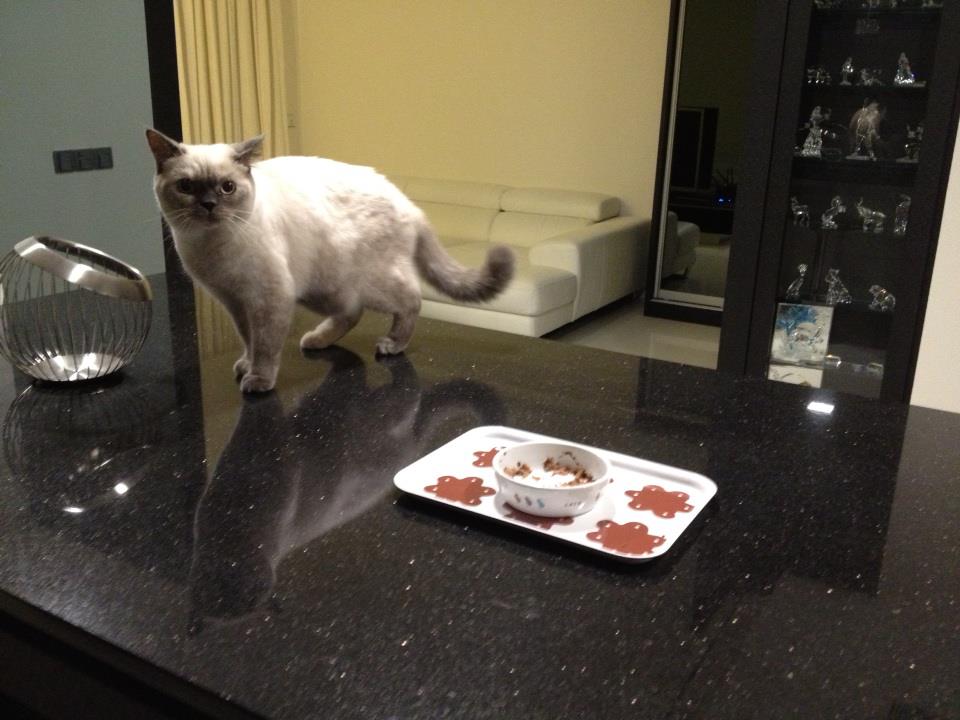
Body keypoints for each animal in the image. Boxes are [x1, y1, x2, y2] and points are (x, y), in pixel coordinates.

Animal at [146, 129, 515, 393]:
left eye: (226, 188)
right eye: (186, 186)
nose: (208, 205)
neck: (211, 247)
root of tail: (409, 203)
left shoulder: (268, 298)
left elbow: (265, 345)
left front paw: (258, 380)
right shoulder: (234, 301)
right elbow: (249, 340)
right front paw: (245, 366)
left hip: (365, 283)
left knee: (410, 300)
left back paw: (392, 344)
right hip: (321, 288)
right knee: (352, 312)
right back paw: (316, 340)